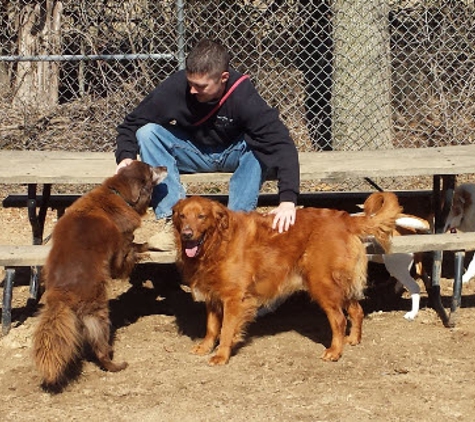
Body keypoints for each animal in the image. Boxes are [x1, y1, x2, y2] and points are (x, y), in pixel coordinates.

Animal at [33, 160, 167, 390]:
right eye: (151, 170)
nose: (166, 167)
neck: (119, 194)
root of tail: (61, 293)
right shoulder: (121, 248)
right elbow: (131, 252)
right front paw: (145, 252)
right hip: (97, 312)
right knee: (100, 348)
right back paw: (115, 364)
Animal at [171, 193, 402, 364]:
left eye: (201, 216)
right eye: (182, 216)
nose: (187, 234)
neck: (217, 243)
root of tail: (345, 218)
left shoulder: (234, 298)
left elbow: (226, 329)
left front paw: (221, 355)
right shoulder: (213, 296)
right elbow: (211, 327)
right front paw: (205, 347)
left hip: (321, 282)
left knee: (339, 319)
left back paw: (335, 351)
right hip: (336, 283)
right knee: (356, 309)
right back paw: (352, 339)